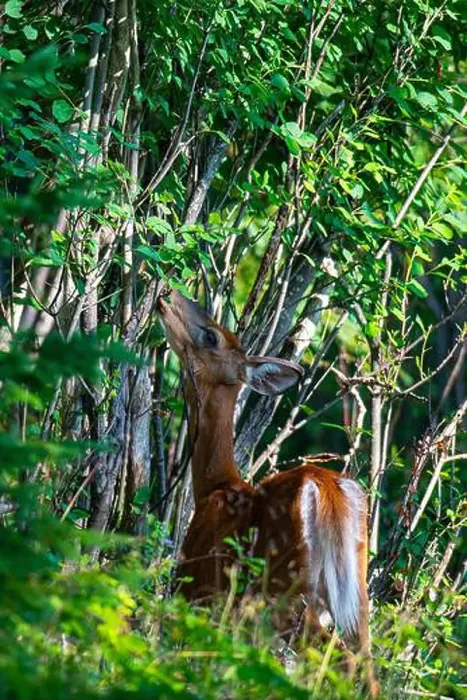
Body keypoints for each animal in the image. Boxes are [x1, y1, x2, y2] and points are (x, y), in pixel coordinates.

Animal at [157, 288, 379, 698]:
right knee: (366, 664)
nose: (168, 294)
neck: (214, 487)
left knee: (340, 659)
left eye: (211, 336)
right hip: (355, 590)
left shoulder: (195, 585)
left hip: (284, 587)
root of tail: (329, 488)